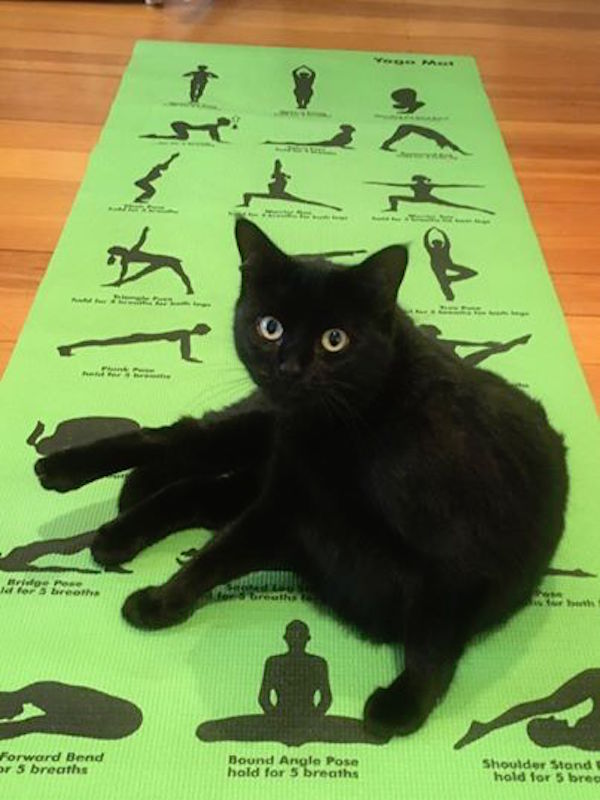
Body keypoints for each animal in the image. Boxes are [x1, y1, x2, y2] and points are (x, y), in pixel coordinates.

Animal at [35, 218, 568, 740]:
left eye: (335, 339)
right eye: (270, 327)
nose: (288, 366)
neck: (351, 437)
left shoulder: (455, 559)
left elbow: (434, 640)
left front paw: (402, 705)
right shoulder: (288, 509)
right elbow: (213, 557)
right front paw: (163, 601)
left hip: (252, 469)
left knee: (194, 486)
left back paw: (120, 526)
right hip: (257, 431)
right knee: (177, 438)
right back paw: (62, 473)